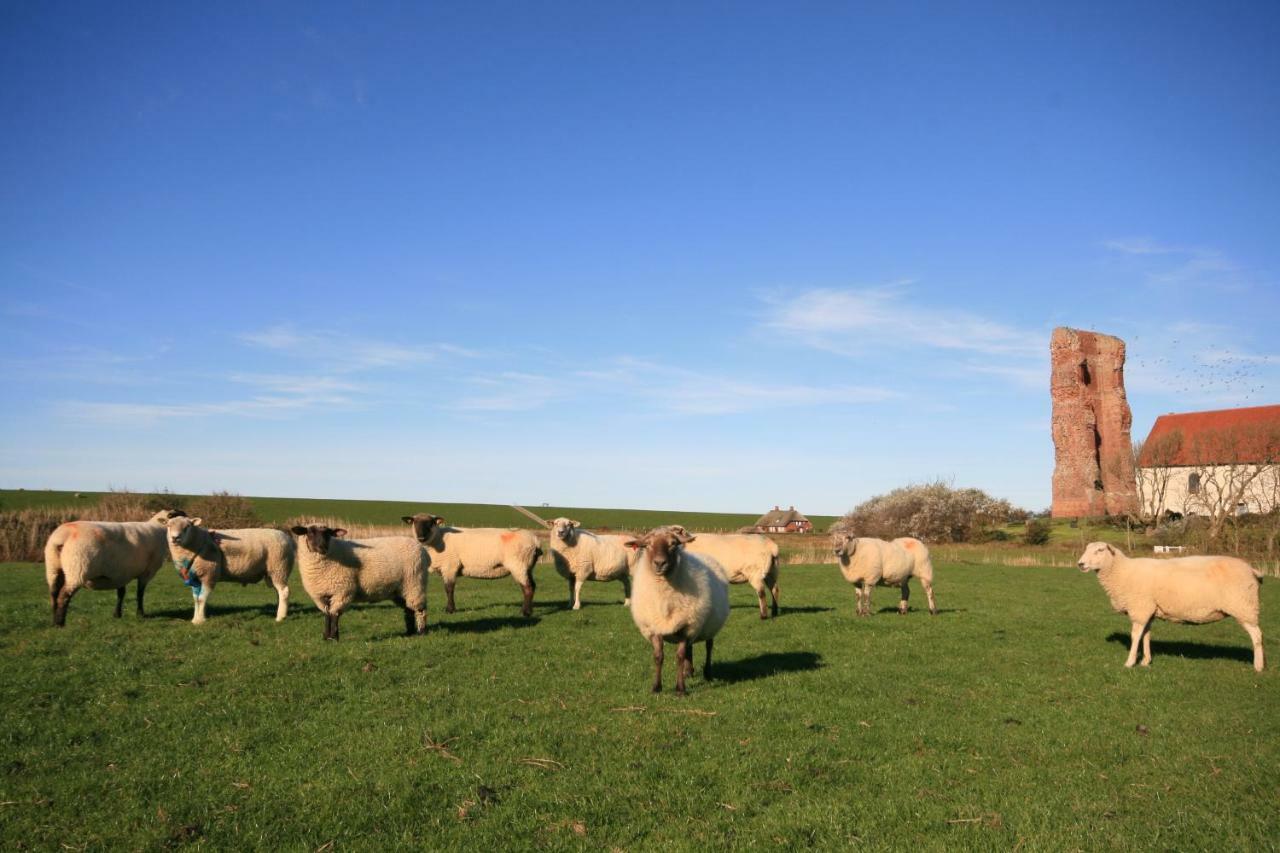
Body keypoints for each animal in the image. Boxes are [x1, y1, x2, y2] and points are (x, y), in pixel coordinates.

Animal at [45, 504, 186, 625]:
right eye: (177, 518)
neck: (159, 529)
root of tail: (62, 536)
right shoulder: (147, 572)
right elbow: (140, 593)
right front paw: (140, 614)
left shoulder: (120, 572)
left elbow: (121, 593)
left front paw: (117, 614)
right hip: (77, 569)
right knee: (64, 596)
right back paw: (59, 623)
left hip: (53, 568)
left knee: (54, 594)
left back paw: (53, 620)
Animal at [290, 522, 430, 640]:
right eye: (310, 532)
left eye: (329, 533)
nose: (323, 547)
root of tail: (422, 549)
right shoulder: (320, 595)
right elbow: (327, 614)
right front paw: (326, 637)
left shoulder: (342, 591)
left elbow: (334, 614)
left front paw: (334, 637)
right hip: (400, 589)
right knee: (409, 609)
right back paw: (409, 632)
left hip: (415, 583)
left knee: (420, 610)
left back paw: (421, 632)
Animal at [399, 514, 540, 614]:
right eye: (415, 522)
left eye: (431, 523)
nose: (421, 538)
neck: (438, 539)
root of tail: (535, 541)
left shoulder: (450, 566)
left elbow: (449, 589)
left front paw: (450, 610)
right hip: (528, 566)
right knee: (532, 586)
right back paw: (530, 610)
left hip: (519, 565)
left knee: (527, 587)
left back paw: (524, 612)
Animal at [627, 522, 732, 696]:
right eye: (648, 545)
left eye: (673, 544)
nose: (660, 563)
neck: (664, 598)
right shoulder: (655, 627)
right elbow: (658, 656)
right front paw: (656, 687)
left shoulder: (686, 628)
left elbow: (680, 656)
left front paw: (680, 689)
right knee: (690, 648)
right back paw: (688, 672)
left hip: (709, 625)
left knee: (709, 647)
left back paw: (707, 673)